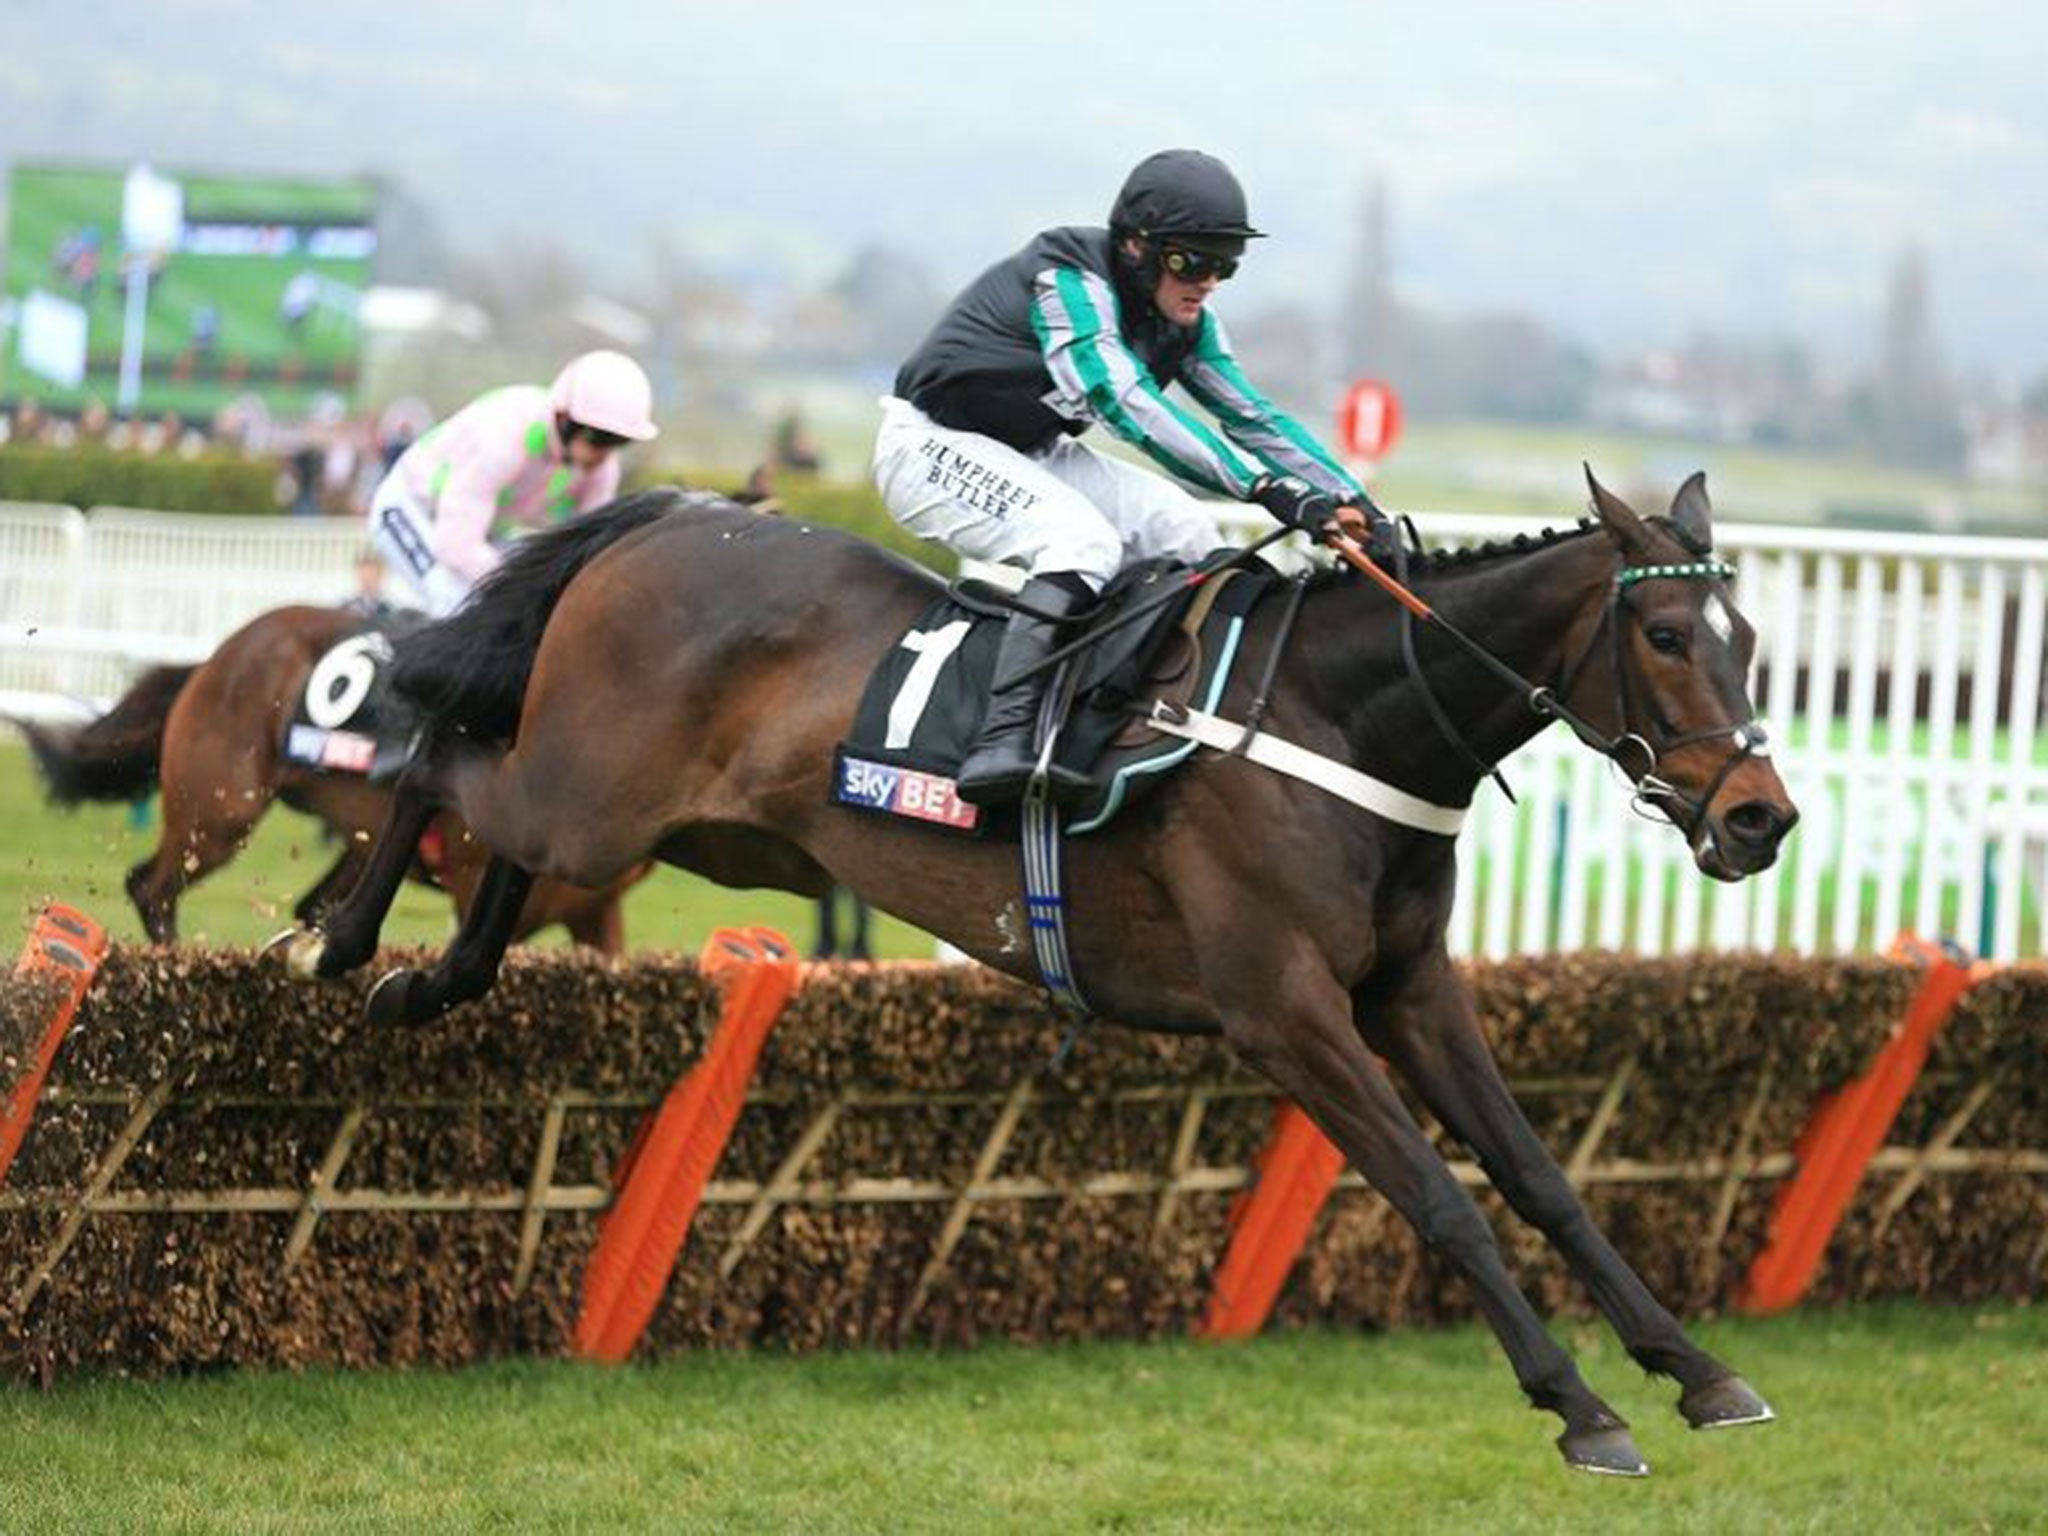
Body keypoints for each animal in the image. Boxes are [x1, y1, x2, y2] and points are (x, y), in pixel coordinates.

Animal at [14, 606, 638, 950]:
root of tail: (217, 655)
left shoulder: (594, 914)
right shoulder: (470, 884)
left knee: (310, 908)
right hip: (219, 812)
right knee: (152, 888)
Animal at [276, 481, 1794, 1482]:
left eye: (1750, 642)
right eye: (1666, 640)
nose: (1759, 819)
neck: (1343, 722)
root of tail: (665, 519)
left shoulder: (1409, 990)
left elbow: (1540, 1177)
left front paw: (1695, 1369)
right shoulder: (1283, 1012)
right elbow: (1441, 1201)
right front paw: (1578, 1407)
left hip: (694, 831)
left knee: (497, 860)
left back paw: (425, 983)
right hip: (589, 800)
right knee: (441, 758)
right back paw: (343, 946)